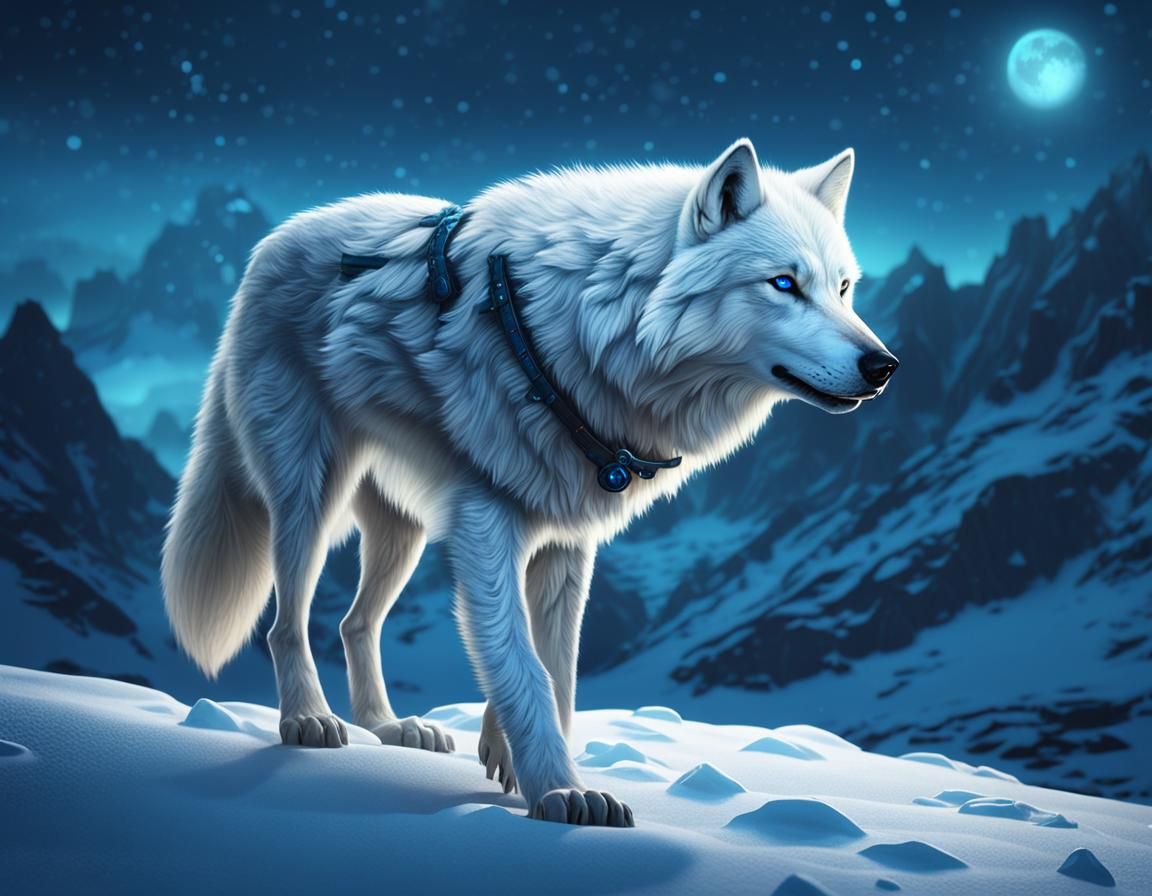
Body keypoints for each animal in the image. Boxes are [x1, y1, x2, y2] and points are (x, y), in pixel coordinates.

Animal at [161, 138, 897, 827]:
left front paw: (509, 756)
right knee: (286, 622)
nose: (884, 365)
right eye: (783, 284)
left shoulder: (566, 539)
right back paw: (307, 720)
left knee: (354, 622)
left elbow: (557, 671)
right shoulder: (485, 525)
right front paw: (563, 793)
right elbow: (524, 666)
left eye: (842, 288)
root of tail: (272, 242)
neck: (596, 326)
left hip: (405, 530)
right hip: (308, 497)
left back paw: (391, 726)